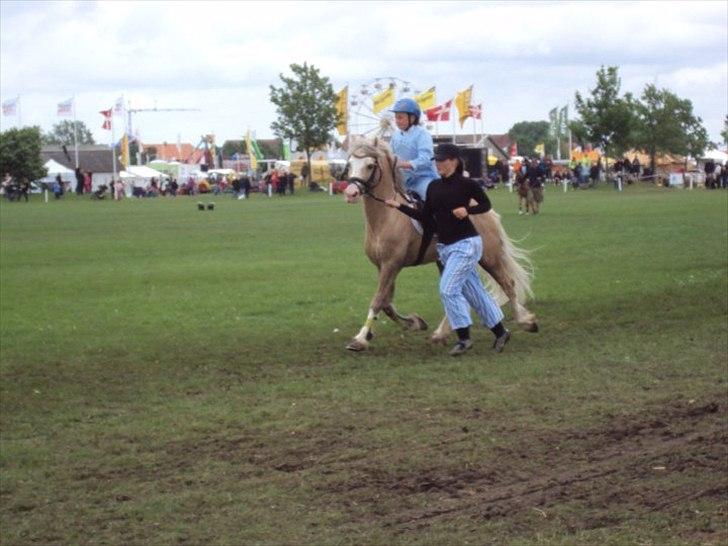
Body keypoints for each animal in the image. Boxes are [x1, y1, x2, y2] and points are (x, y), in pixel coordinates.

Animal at [344, 135, 536, 348]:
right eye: (349, 164)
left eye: (370, 165)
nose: (350, 193)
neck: (387, 216)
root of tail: (488, 214)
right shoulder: (382, 266)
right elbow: (387, 304)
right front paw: (414, 322)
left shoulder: (392, 265)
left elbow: (378, 301)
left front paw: (360, 339)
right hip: (448, 261)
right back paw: (441, 332)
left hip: (489, 258)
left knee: (508, 283)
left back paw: (525, 322)